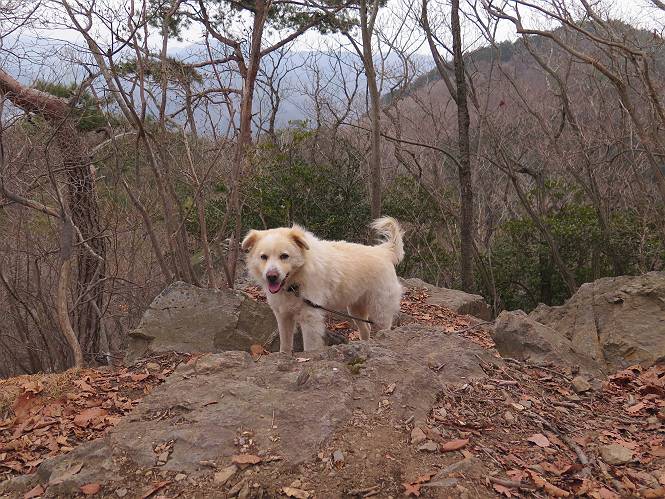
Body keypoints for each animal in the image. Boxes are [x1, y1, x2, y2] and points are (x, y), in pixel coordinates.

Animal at [242, 217, 404, 353]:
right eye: (264, 257)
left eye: (284, 256)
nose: (271, 277)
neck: (295, 281)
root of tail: (383, 251)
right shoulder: (283, 315)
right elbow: (285, 345)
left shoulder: (310, 317)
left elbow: (309, 347)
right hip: (355, 309)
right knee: (367, 328)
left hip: (380, 311)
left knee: (384, 328)